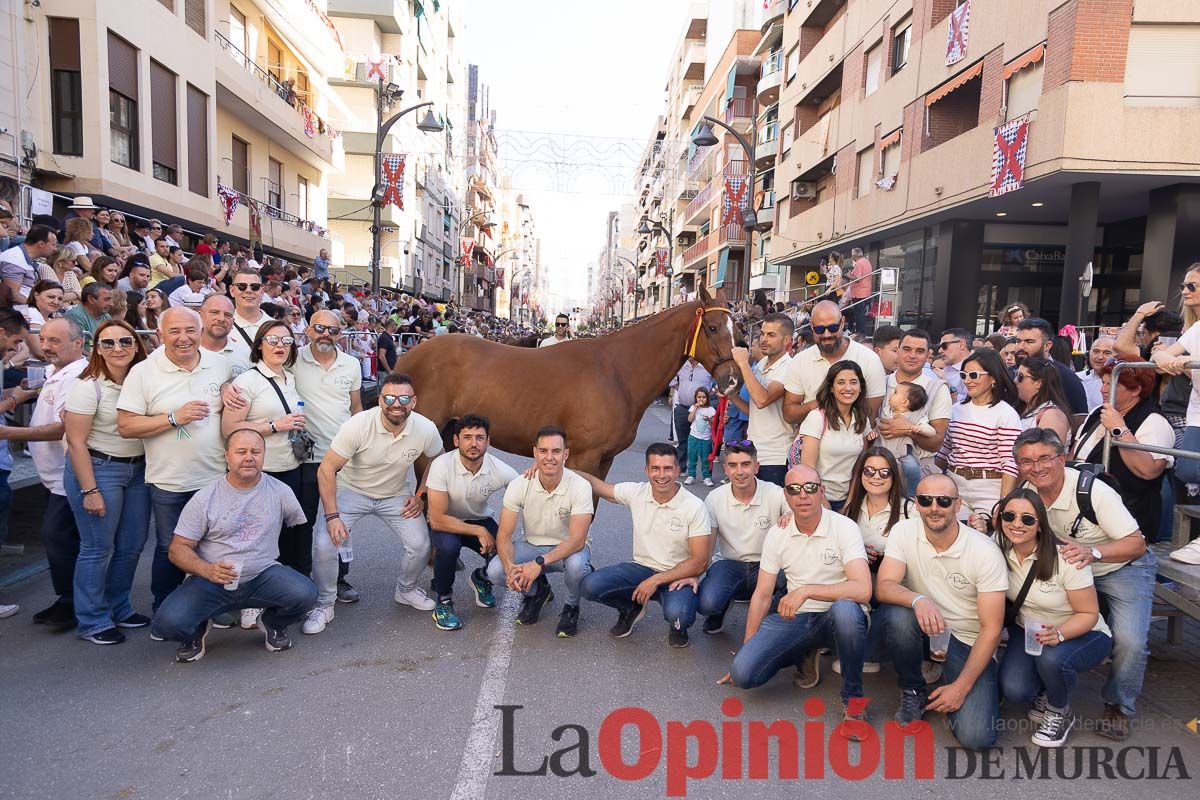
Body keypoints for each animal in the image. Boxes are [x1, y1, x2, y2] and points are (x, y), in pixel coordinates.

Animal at [393, 286, 739, 479]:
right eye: (711, 327)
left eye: (735, 327)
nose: (732, 379)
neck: (617, 371)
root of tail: (409, 356)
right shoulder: (585, 458)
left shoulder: (604, 461)